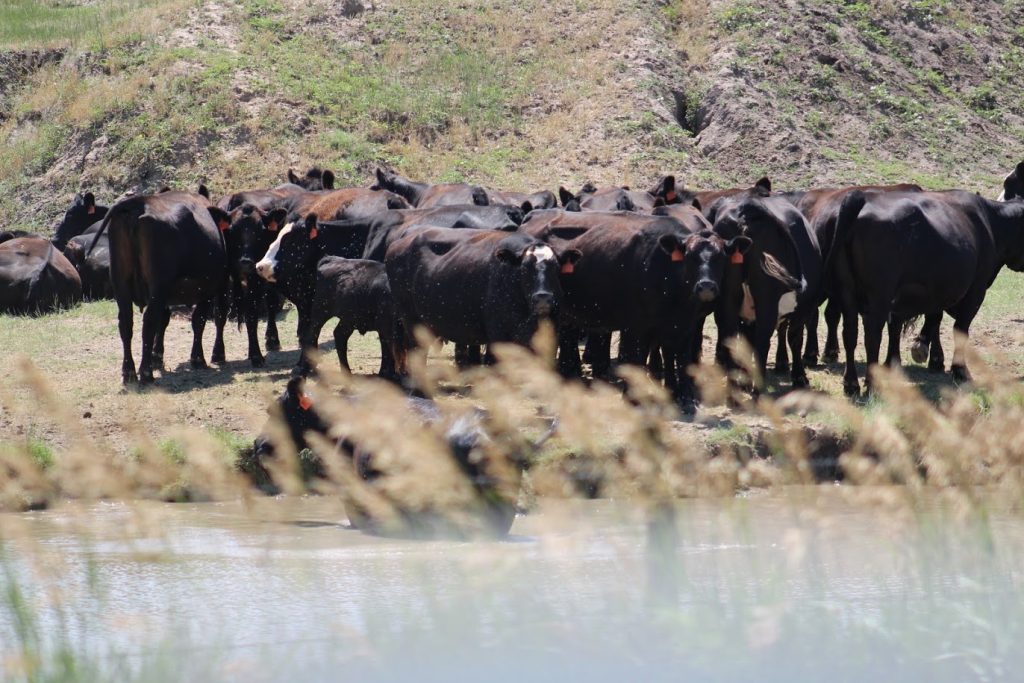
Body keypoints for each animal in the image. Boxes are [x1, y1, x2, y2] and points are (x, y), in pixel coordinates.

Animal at [87, 189, 232, 387]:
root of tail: (139, 201)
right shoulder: (209, 288)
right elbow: (201, 320)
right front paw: (200, 358)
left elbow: (164, 321)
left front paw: (157, 357)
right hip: (158, 286)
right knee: (148, 322)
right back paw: (145, 372)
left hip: (121, 284)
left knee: (126, 323)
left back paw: (129, 371)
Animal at [831, 191, 1024, 395]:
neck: (992, 222)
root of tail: (863, 196)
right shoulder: (976, 290)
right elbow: (960, 328)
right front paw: (959, 370)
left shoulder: (933, 291)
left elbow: (920, 320)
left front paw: (903, 358)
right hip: (879, 294)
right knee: (872, 335)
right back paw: (872, 385)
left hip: (847, 291)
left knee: (850, 333)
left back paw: (851, 384)